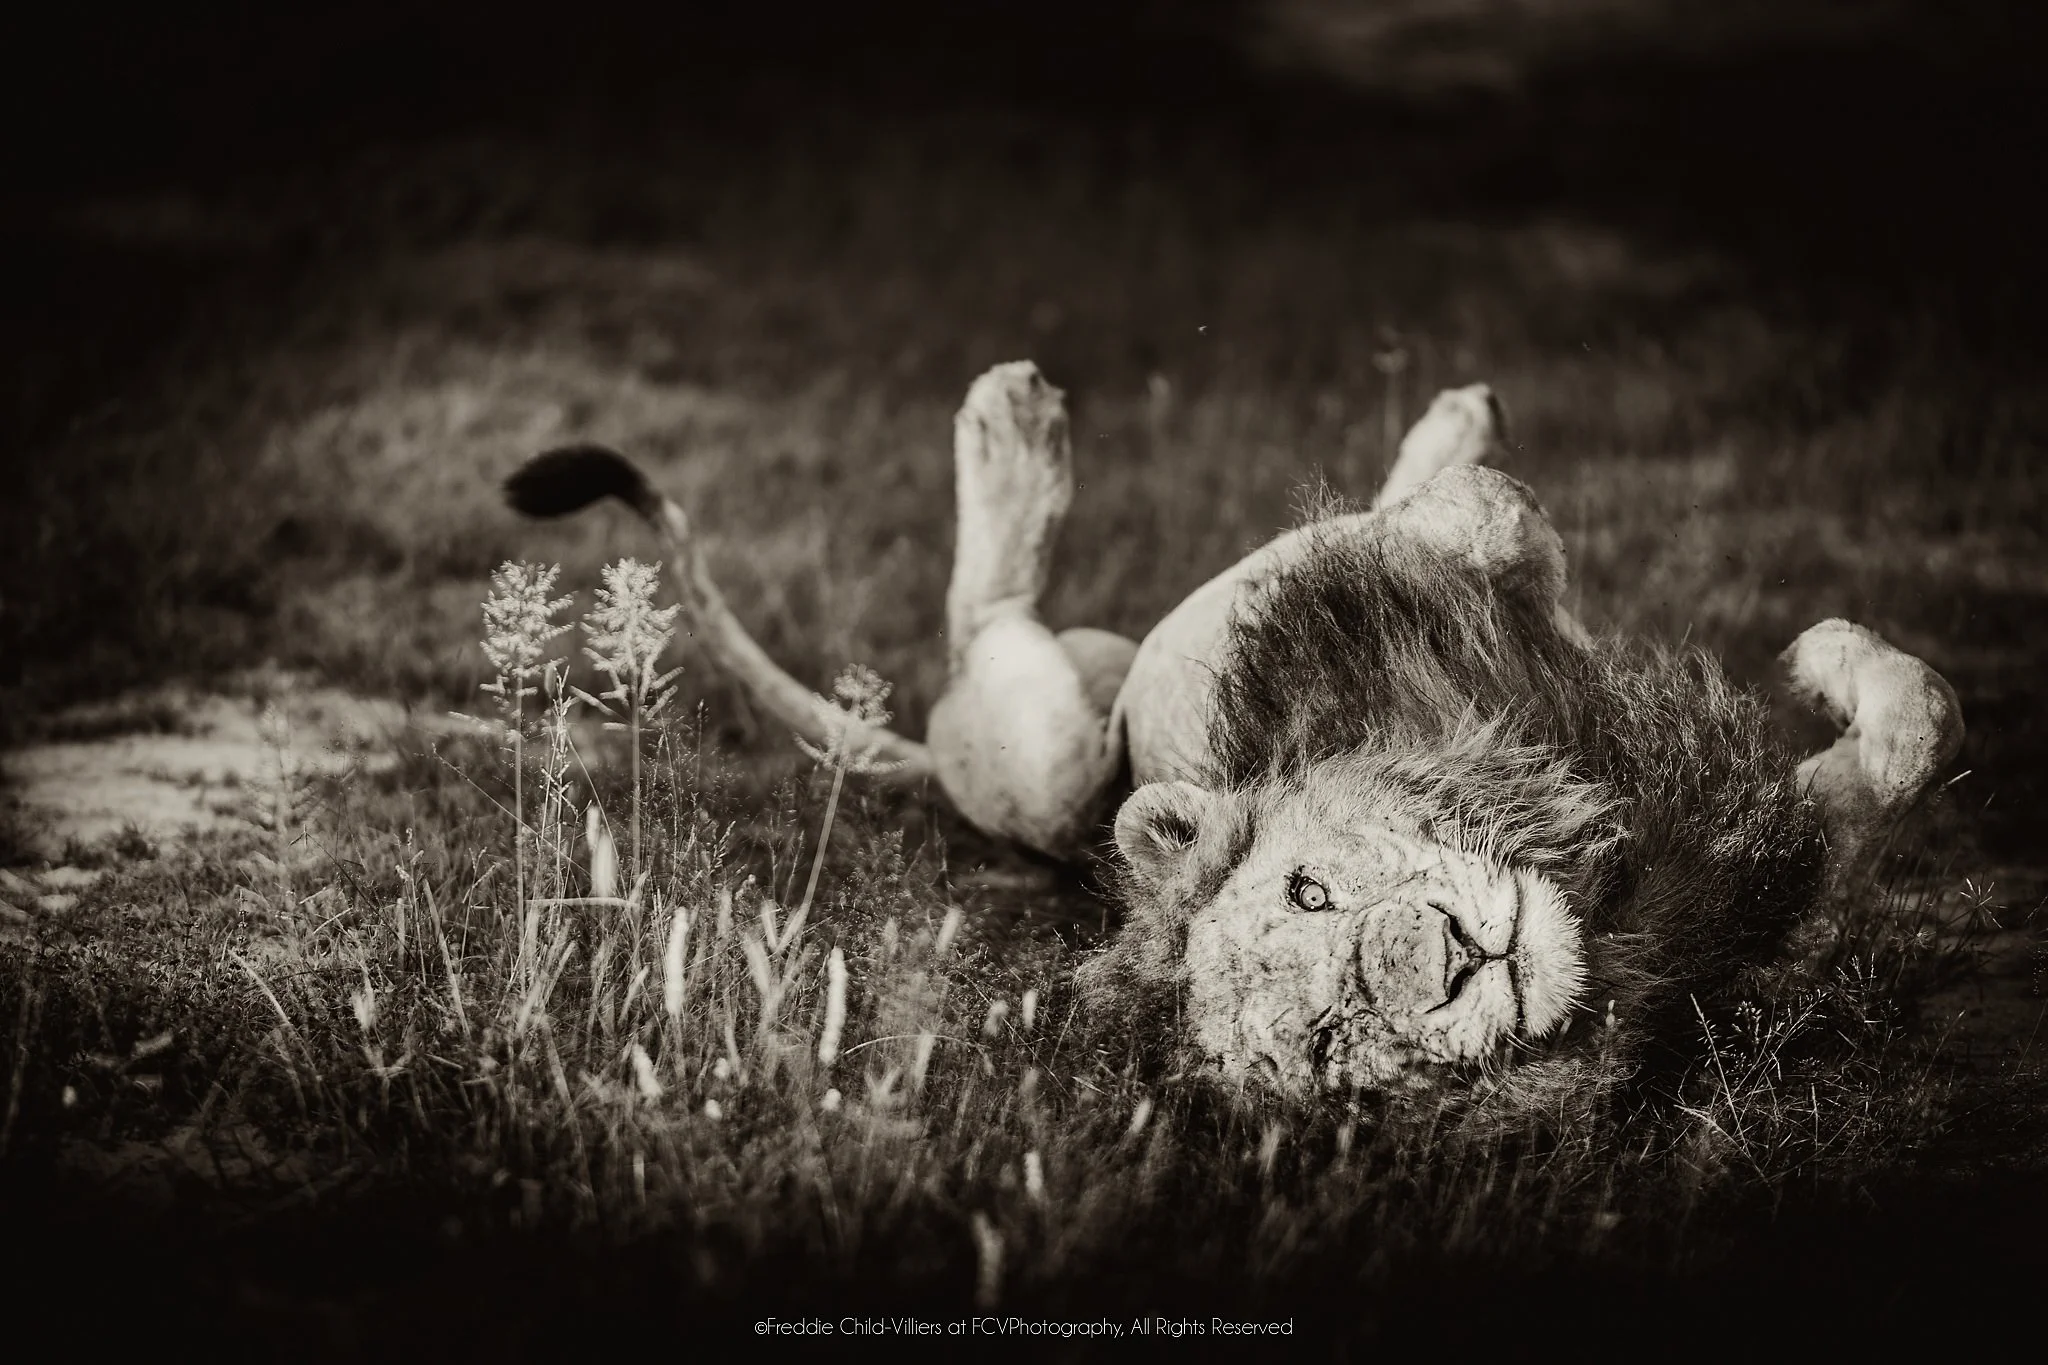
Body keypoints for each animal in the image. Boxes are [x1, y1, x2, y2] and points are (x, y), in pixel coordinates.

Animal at [505, 362, 1963, 1098]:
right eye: (1335, 1047)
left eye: (1313, 890)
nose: (1437, 962)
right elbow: (1479, 515)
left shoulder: (1727, 845)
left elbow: (1916, 732)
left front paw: (1824, 661)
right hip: (1049, 757)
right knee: (983, 620)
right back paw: (1013, 419)